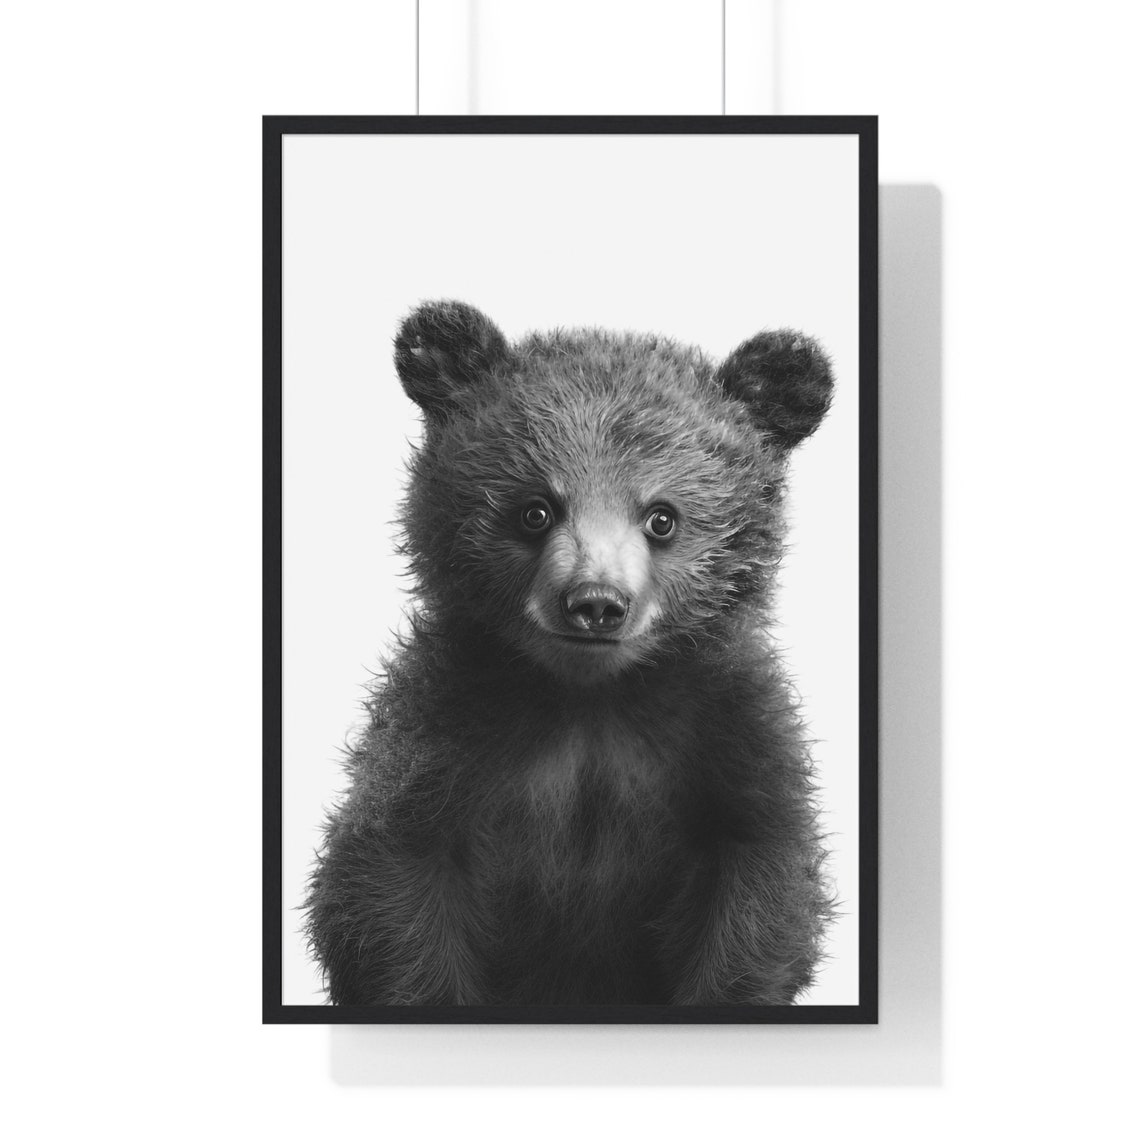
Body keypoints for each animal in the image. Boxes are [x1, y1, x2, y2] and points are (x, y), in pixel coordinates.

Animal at [305, 300, 835, 1006]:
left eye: (662, 517)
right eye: (535, 509)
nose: (595, 603)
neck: (591, 695)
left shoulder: (726, 737)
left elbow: (760, 885)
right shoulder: (446, 733)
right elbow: (389, 884)